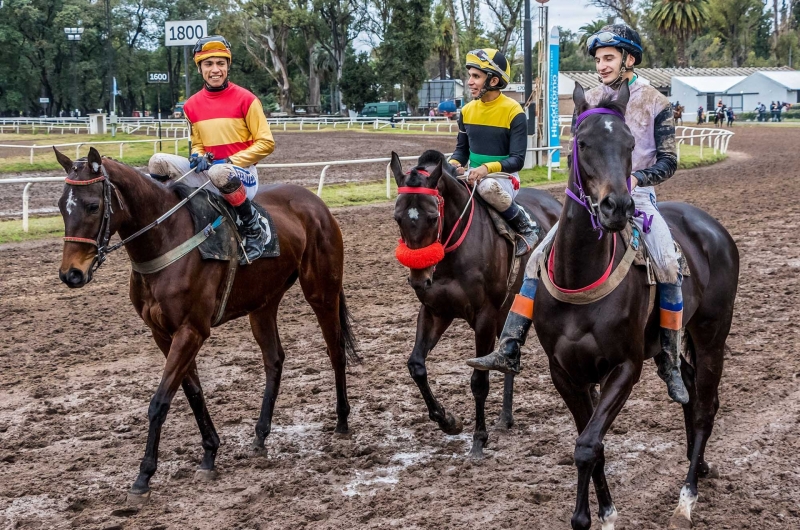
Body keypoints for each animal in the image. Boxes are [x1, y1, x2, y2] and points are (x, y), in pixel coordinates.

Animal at [54, 146, 354, 502]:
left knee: (335, 350)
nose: (71, 274)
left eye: (92, 205)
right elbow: (192, 392)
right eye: (61, 205)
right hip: (263, 303)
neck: (166, 240)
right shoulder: (163, 333)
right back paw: (260, 435)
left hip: (322, 291)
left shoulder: (191, 330)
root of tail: (315, 202)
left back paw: (342, 422)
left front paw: (144, 476)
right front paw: (210, 453)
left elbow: (159, 402)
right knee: (274, 359)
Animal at [390, 151, 560, 456]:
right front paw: (447, 420)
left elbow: (479, 380)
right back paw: (505, 417)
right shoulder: (435, 311)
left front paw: (479, 439)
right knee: (508, 356)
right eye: (398, 218)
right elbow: (416, 365)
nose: (419, 279)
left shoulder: (485, 317)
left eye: (433, 218)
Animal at [536, 84, 740, 524]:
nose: (617, 206)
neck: (581, 277)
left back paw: (686, 498)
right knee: (689, 389)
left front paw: (592, 517)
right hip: (672, 344)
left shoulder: (624, 367)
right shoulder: (565, 373)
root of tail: (712, 227)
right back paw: (699, 465)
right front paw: (602, 512)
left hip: (712, 333)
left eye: (630, 144)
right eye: (582, 142)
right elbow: (592, 444)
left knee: (705, 407)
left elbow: (586, 446)